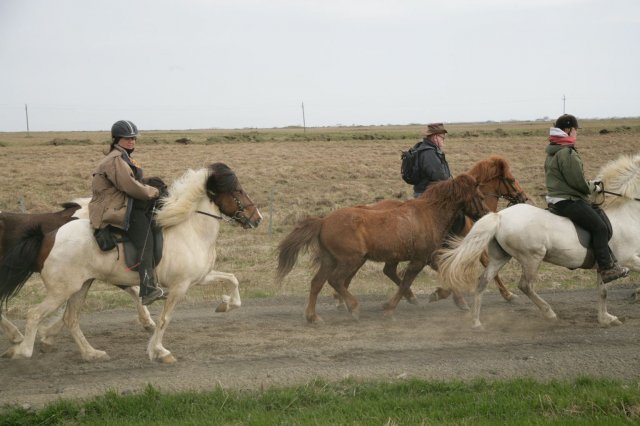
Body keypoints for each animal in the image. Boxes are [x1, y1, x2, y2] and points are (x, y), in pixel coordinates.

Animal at [0, 163, 262, 362]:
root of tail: (48, 236)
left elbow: (232, 280)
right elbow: (164, 319)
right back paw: (21, 349)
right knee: (35, 314)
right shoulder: (179, 287)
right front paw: (159, 351)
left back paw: (91, 353)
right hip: (61, 290)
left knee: (70, 319)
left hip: (80, 287)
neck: (191, 229)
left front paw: (226, 304)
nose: (257, 218)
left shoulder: (200, 277)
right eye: (238, 191)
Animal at [276, 173, 490, 322]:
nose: (486, 215)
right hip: (350, 260)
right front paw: (389, 308)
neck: (429, 214)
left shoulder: (430, 256)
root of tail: (323, 221)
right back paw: (353, 308)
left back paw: (313, 317)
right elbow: (405, 283)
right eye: (480, 196)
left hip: (331, 260)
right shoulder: (419, 259)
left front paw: (454, 300)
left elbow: (442, 275)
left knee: (317, 283)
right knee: (336, 280)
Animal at [438, 153, 640, 330]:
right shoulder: (626, 259)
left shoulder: (604, 266)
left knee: (483, 282)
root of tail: (500, 216)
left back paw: (476, 322)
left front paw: (606, 319)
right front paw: (633, 296)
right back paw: (549, 313)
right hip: (532, 257)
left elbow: (602, 292)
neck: (625, 213)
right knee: (525, 285)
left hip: (500, 257)